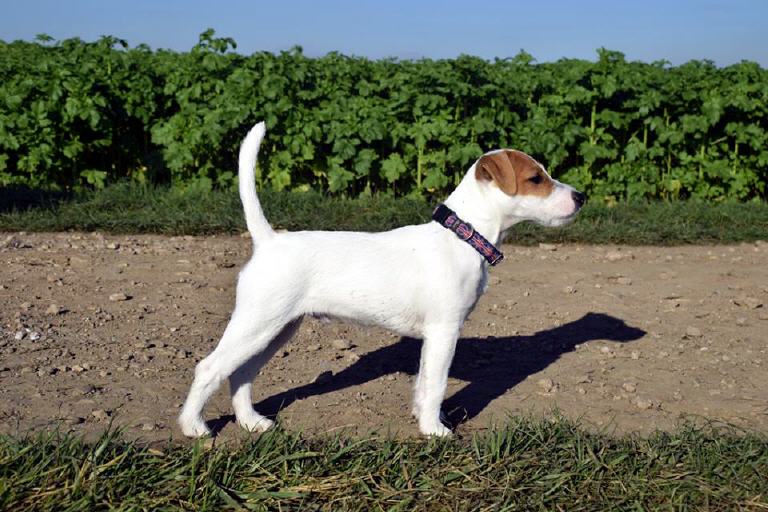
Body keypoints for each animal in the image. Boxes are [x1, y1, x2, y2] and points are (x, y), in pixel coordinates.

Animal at [178, 122, 585, 437]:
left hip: (277, 330)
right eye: (536, 178)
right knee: (210, 368)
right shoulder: (445, 331)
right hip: (257, 324)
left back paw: (251, 422)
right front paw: (435, 431)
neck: (461, 236)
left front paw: (425, 419)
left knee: (241, 374)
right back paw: (194, 427)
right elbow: (437, 384)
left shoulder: (433, 339)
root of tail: (269, 240)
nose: (581, 196)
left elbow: (423, 384)